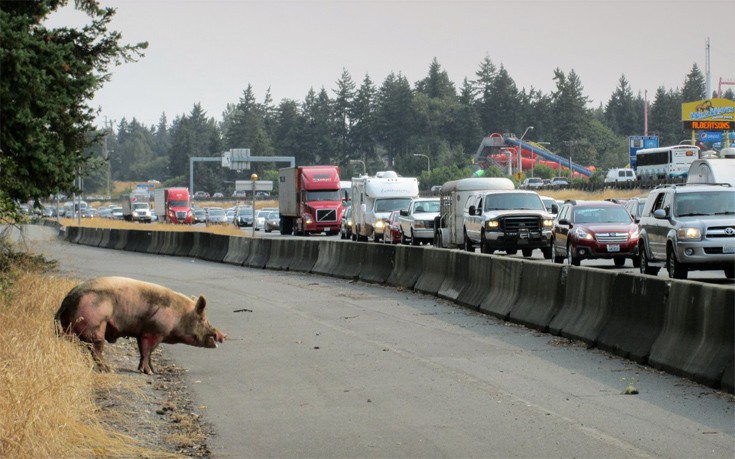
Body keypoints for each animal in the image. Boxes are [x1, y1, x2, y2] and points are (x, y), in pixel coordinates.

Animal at [55, 276, 224, 374]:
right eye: (203, 319)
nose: (222, 335)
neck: (180, 314)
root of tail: (68, 300)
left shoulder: (143, 332)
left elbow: (145, 352)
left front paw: (153, 371)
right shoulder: (154, 331)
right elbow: (148, 351)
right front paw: (149, 373)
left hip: (70, 328)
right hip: (95, 326)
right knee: (95, 348)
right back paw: (108, 370)